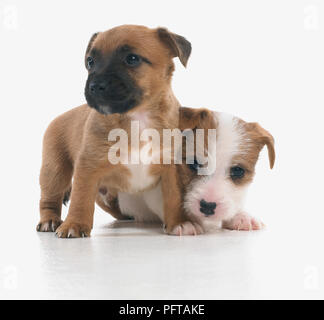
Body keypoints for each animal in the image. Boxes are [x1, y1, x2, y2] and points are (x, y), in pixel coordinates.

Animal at [35, 25, 192, 238]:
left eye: (132, 59)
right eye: (90, 62)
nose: (94, 86)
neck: (138, 117)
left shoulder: (171, 168)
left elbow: (174, 196)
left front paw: (179, 223)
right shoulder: (88, 166)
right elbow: (80, 198)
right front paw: (74, 224)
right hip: (54, 171)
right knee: (50, 198)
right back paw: (49, 221)